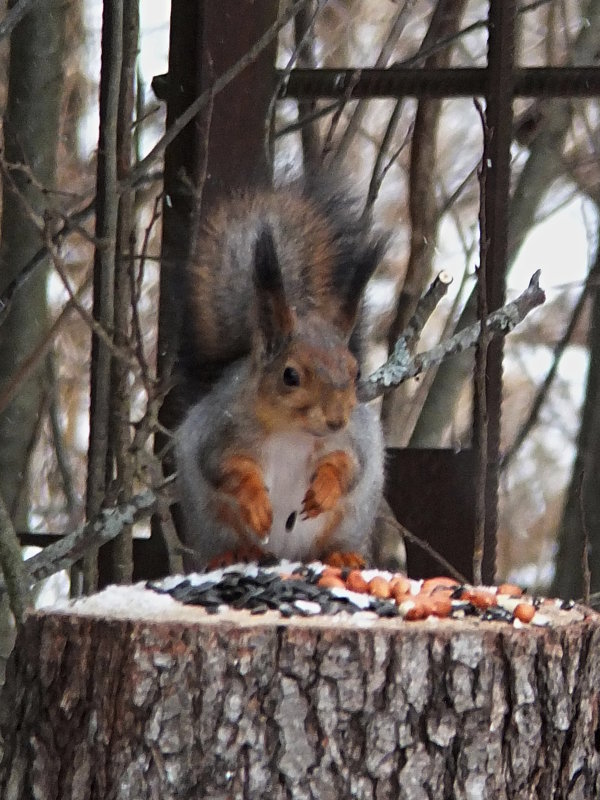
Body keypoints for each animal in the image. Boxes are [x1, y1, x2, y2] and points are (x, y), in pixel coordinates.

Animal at [176, 178, 386, 572]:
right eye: (290, 376)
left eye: (356, 372)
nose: (336, 420)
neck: (294, 432)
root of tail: (288, 556)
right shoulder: (220, 429)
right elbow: (224, 466)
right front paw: (257, 503)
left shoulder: (356, 439)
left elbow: (350, 466)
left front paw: (325, 489)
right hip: (213, 524)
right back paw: (238, 552)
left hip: (350, 522)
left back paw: (342, 555)